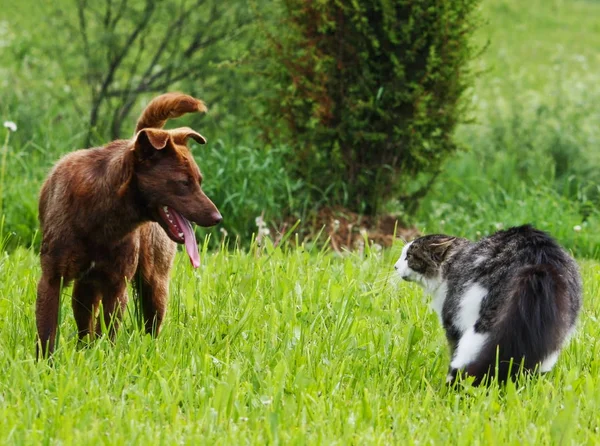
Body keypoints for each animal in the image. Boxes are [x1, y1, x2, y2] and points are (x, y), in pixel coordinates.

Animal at [35, 92, 223, 358]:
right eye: (183, 183)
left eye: (199, 180)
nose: (217, 218)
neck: (101, 215)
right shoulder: (52, 278)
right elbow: (47, 333)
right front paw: (46, 364)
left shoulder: (117, 286)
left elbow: (107, 332)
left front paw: (103, 358)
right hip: (86, 287)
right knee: (84, 323)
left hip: (154, 283)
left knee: (151, 324)